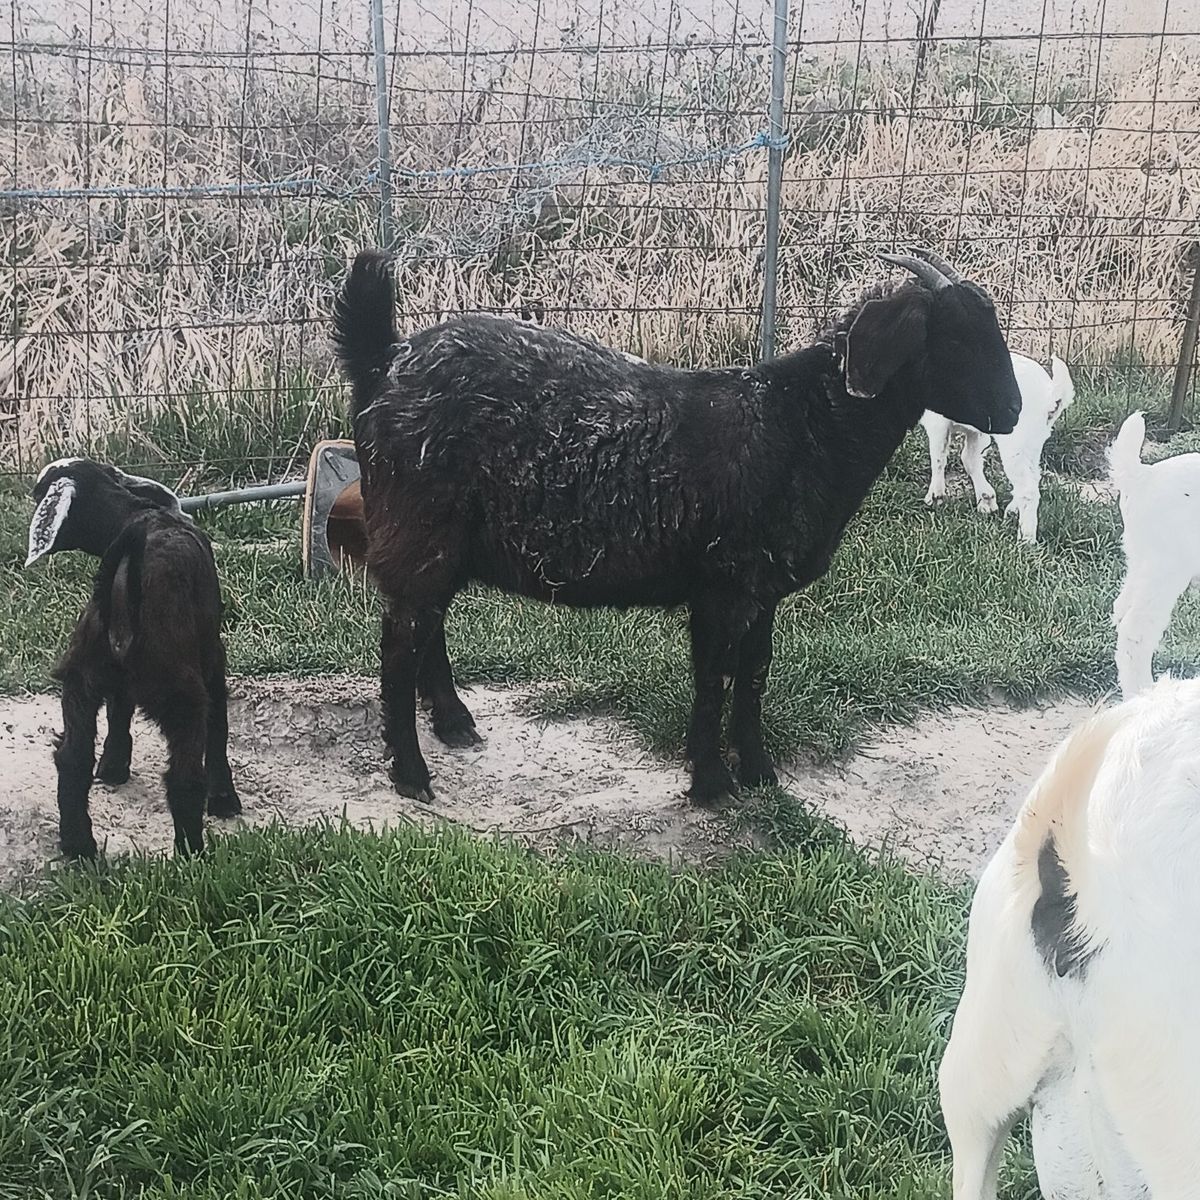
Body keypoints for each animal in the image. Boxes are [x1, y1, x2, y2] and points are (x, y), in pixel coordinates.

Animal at [26, 458, 241, 859]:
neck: (131, 513)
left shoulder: (109, 680)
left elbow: (118, 710)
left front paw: (113, 766)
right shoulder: (212, 653)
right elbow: (219, 725)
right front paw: (224, 799)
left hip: (81, 678)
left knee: (73, 759)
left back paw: (80, 848)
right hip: (182, 691)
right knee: (184, 777)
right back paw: (194, 856)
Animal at [333, 246, 1022, 803]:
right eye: (954, 339)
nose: (1013, 411)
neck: (801, 425)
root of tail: (383, 363)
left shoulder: (760, 589)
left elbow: (753, 675)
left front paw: (759, 771)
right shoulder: (721, 585)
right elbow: (714, 678)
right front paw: (711, 782)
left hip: (440, 542)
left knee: (427, 627)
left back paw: (453, 722)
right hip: (417, 528)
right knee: (399, 643)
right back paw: (412, 773)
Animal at [921, 352, 1075, 543]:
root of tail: (1050, 395)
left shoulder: (938, 421)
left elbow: (938, 458)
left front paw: (935, 497)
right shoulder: (977, 430)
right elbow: (970, 459)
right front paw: (986, 501)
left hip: (1015, 444)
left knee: (1028, 488)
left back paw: (1026, 540)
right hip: (1033, 442)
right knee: (1032, 477)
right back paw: (1014, 510)